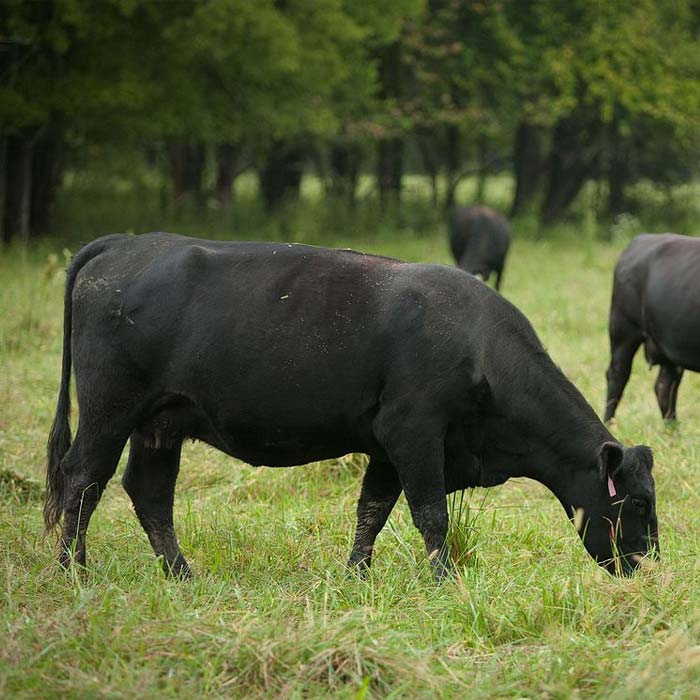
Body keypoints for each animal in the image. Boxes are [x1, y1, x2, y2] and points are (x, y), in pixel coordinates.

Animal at [45, 233, 658, 581]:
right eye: (638, 502)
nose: (650, 565)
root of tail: (121, 243)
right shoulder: (415, 431)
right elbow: (430, 514)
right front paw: (445, 582)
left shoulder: (387, 444)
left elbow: (373, 511)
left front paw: (357, 578)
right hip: (110, 408)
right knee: (81, 478)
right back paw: (73, 571)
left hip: (161, 421)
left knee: (148, 491)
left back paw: (180, 575)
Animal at [605, 233, 700, 422]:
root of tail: (642, 238)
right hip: (623, 329)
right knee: (617, 375)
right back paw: (607, 423)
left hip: (669, 346)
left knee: (664, 386)